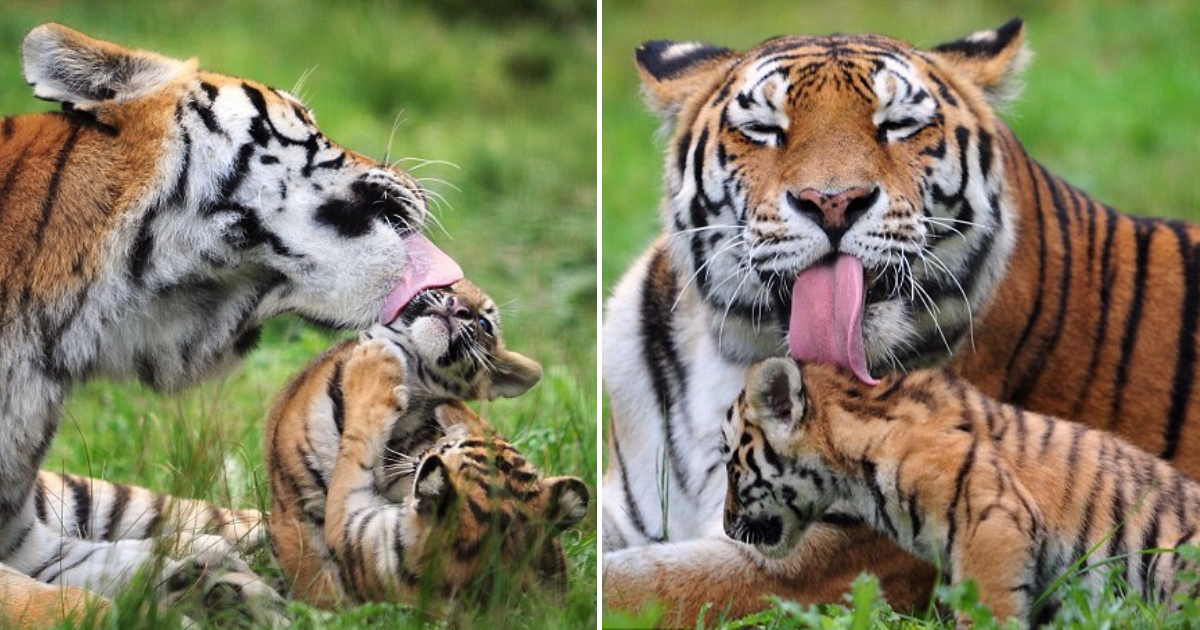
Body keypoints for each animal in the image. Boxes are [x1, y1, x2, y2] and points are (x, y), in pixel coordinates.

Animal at [609, 18, 1200, 619]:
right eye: (764, 129)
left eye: (897, 126)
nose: (834, 201)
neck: (733, 349)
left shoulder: (820, 559)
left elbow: (635, 586)